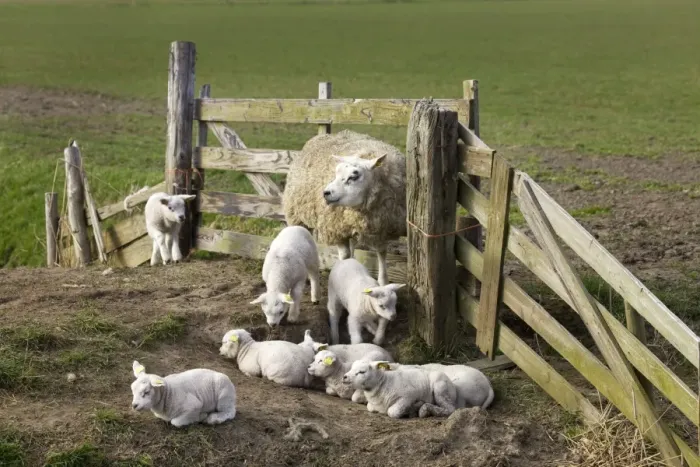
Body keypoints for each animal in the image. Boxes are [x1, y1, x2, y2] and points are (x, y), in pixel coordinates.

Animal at [282, 129, 406, 286]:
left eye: (354, 176)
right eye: (336, 173)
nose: (325, 193)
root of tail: (321, 137)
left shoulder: (382, 226)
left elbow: (382, 252)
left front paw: (383, 281)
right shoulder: (336, 228)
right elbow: (345, 255)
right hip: (296, 215)